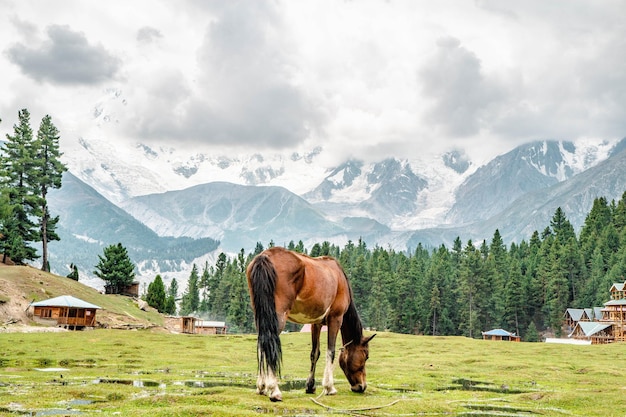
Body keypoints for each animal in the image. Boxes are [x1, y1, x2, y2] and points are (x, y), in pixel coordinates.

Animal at [245, 245, 372, 402]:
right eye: (366, 356)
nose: (361, 386)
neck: (339, 278)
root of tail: (265, 256)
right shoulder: (335, 318)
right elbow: (331, 351)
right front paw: (329, 387)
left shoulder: (315, 324)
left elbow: (314, 353)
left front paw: (310, 386)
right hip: (277, 318)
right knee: (270, 345)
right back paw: (274, 390)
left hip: (261, 316)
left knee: (262, 345)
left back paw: (261, 387)